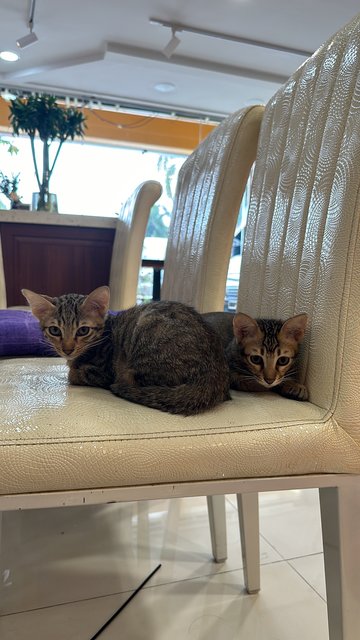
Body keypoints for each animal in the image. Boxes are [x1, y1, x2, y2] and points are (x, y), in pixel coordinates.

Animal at [23, 284, 231, 416]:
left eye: (83, 330)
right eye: (54, 330)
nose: (67, 349)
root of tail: (215, 374)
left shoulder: (104, 373)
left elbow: (74, 374)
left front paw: (73, 371)